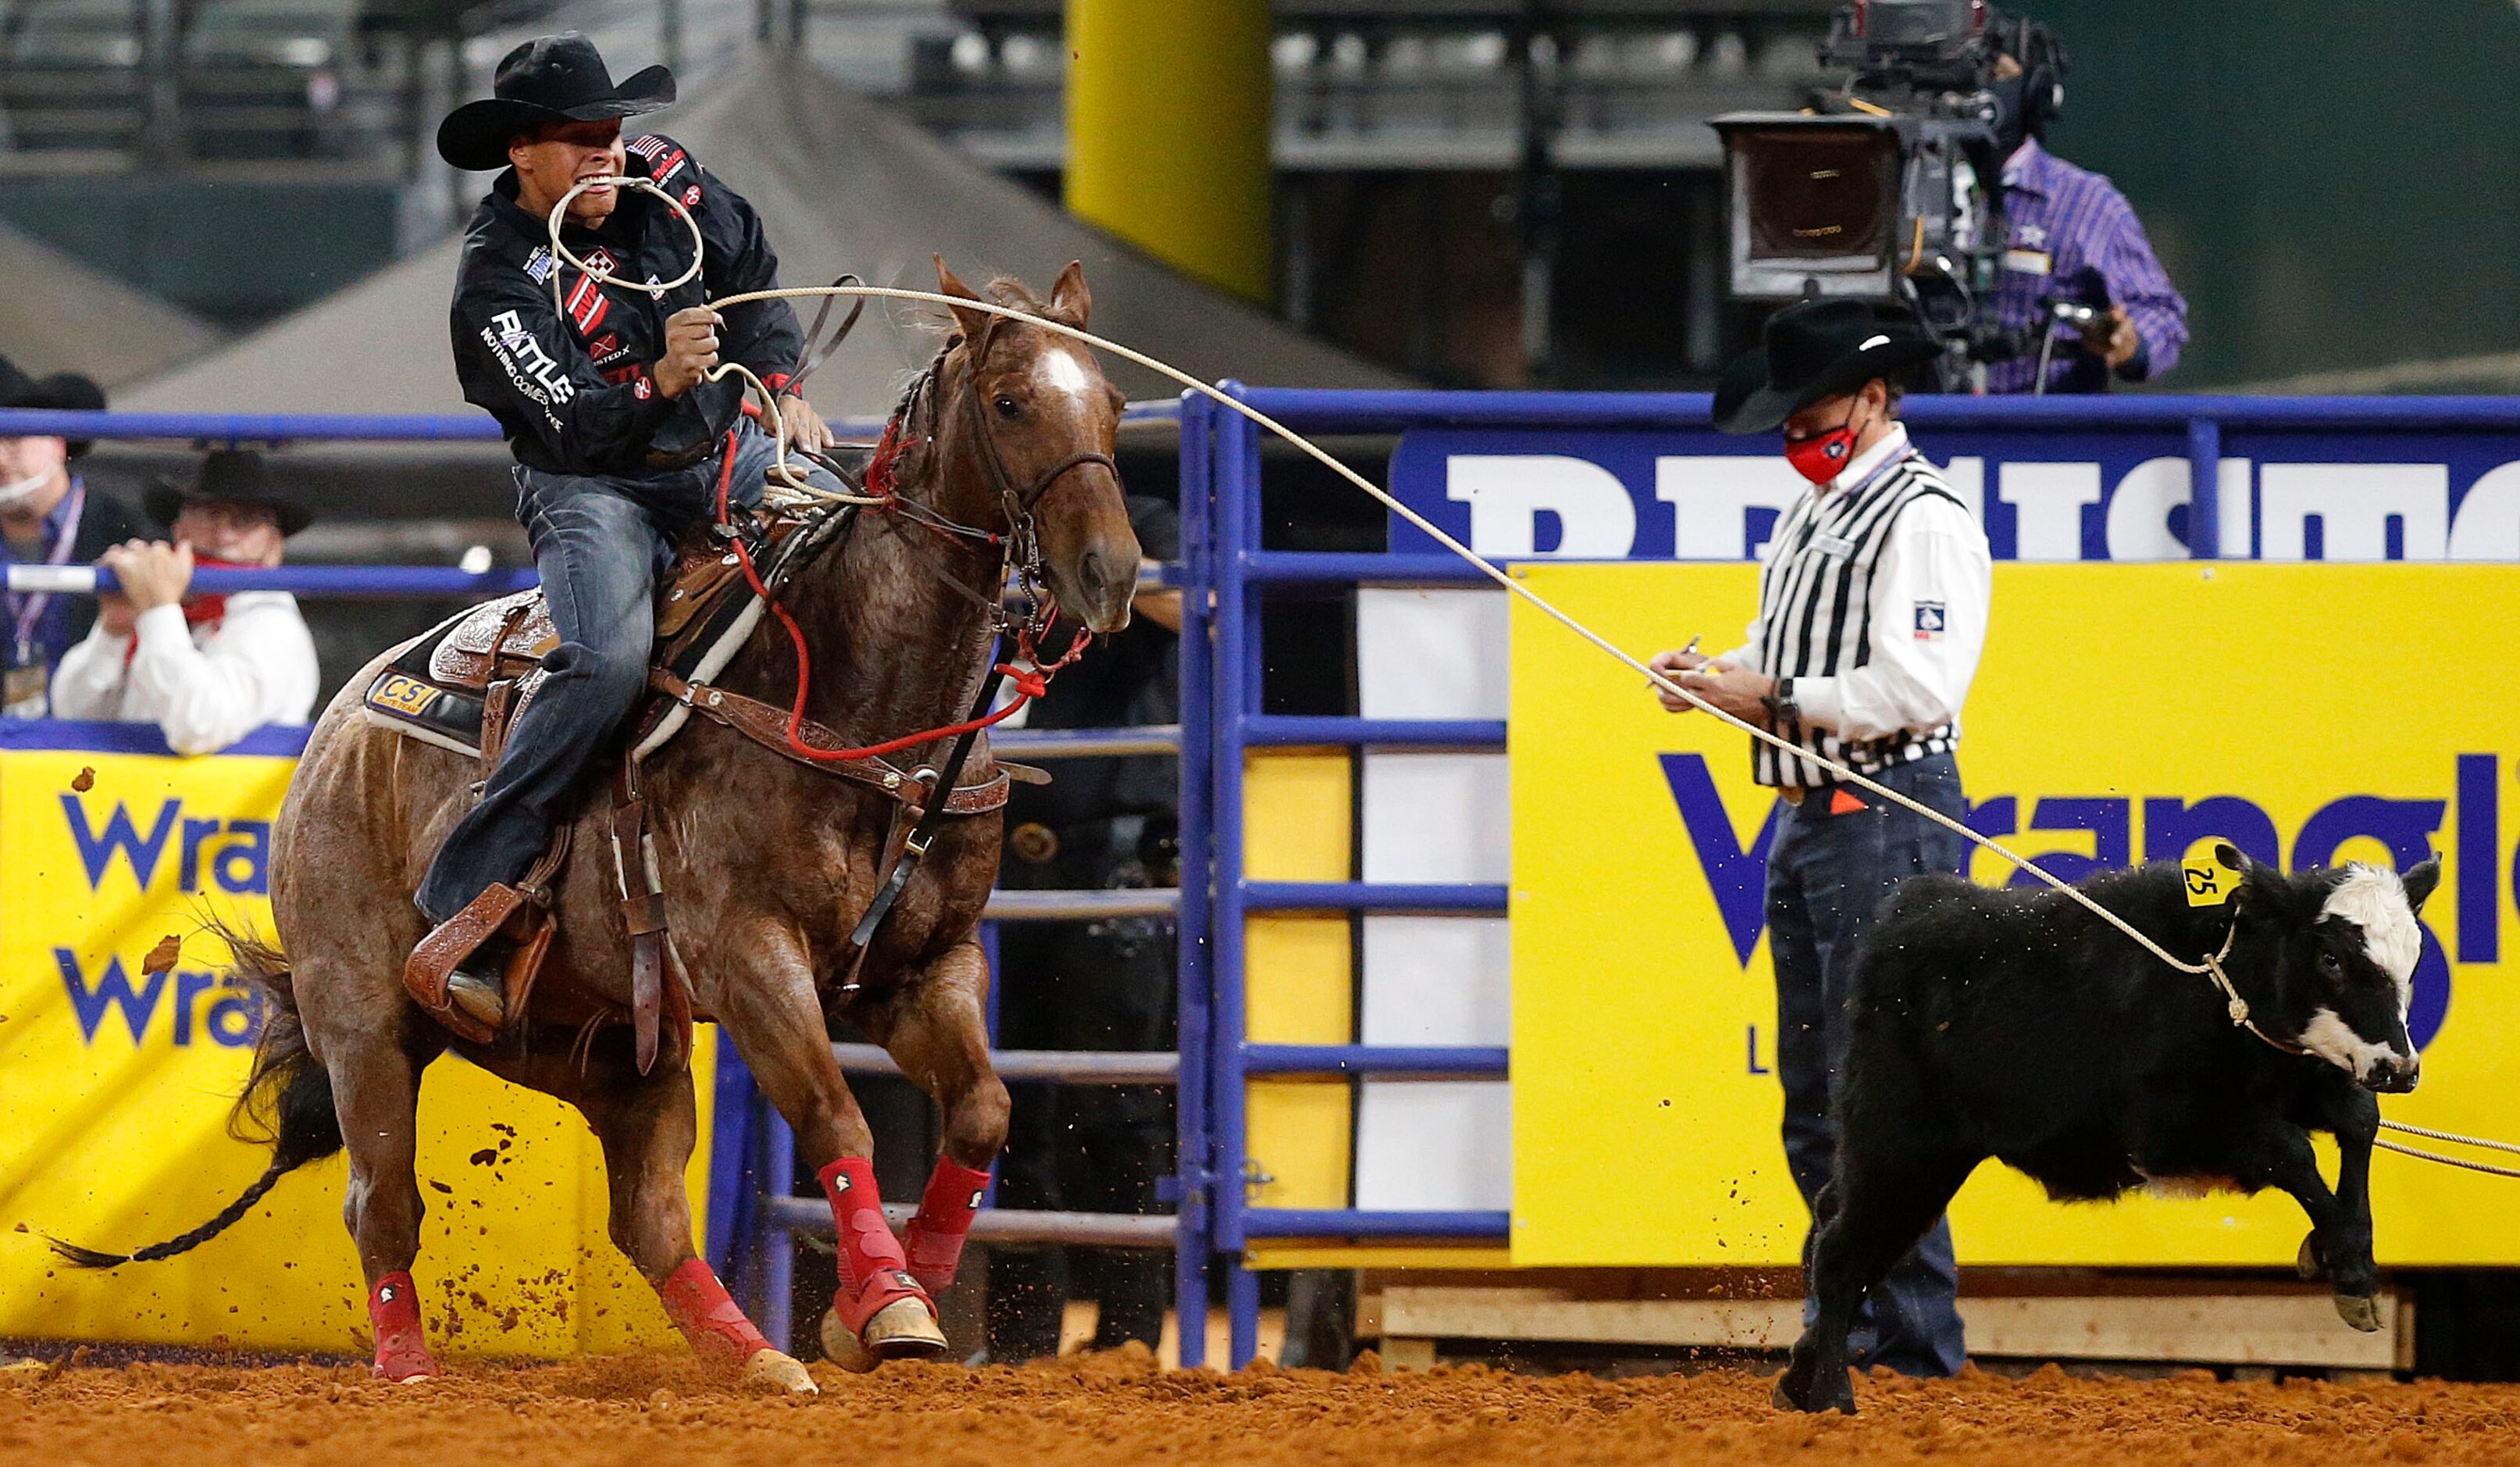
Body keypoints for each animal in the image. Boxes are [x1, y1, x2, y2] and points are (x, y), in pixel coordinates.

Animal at [56, 258, 1144, 1401]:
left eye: (1114, 403)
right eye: (1010, 402)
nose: (1110, 572)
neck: (867, 708)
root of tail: (338, 723)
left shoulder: (925, 966)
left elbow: (982, 1108)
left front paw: (883, 1310)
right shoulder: (749, 955)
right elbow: (833, 1114)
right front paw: (887, 1303)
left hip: (605, 1044)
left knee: (648, 1216)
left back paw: (758, 1357)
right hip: (362, 1015)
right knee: (381, 1200)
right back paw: (408, 1365)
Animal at [1773, 847, 2439, 1421]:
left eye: (2412, 958)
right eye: (2331, 959)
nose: (2399, 1068)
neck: (2215, 984)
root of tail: (1910, 912)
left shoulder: (2302, 1081)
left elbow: (2358, 1122)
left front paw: (2347, 1257)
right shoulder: (2173, 1128)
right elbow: (2293, 1152)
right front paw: (2345, 1268)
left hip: (1915, 1163)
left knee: (1841, 1231)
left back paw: (1798, 1379)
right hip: (1897, 1149)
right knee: (1840, 1253)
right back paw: (1830, 1398)